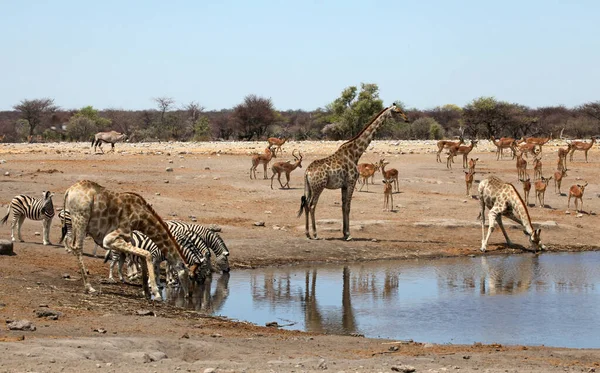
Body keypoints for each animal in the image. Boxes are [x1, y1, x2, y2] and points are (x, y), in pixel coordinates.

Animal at [298, 103, 410, 240]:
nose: (407, 119)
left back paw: (307, 233)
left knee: (306, 205)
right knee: (312, 205)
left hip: (310, 187)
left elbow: (343, 206)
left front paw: (344, 233)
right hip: (318, 187)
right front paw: (348, 234)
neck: (355, 153)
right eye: (398, 111)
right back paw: (315, 234)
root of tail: (307, 172)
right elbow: (348, 207)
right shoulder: (351, 182)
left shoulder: (344, 185)